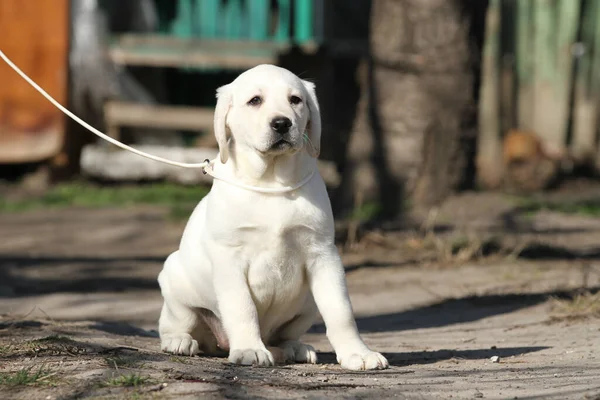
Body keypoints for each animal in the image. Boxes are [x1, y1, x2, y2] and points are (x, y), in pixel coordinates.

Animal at [157, 64, 390, 370]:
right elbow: (242, 307)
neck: (272, 181)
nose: (281, 123)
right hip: (174, 279)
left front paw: (358, 353)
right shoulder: (230, 258)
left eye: (296, 100)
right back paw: (180, 341)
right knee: (175, 323)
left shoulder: (323, 254)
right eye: (255, 101)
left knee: (286, 335)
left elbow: (341, 310)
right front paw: (248, 349)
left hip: (307, 304)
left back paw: (294, 348)